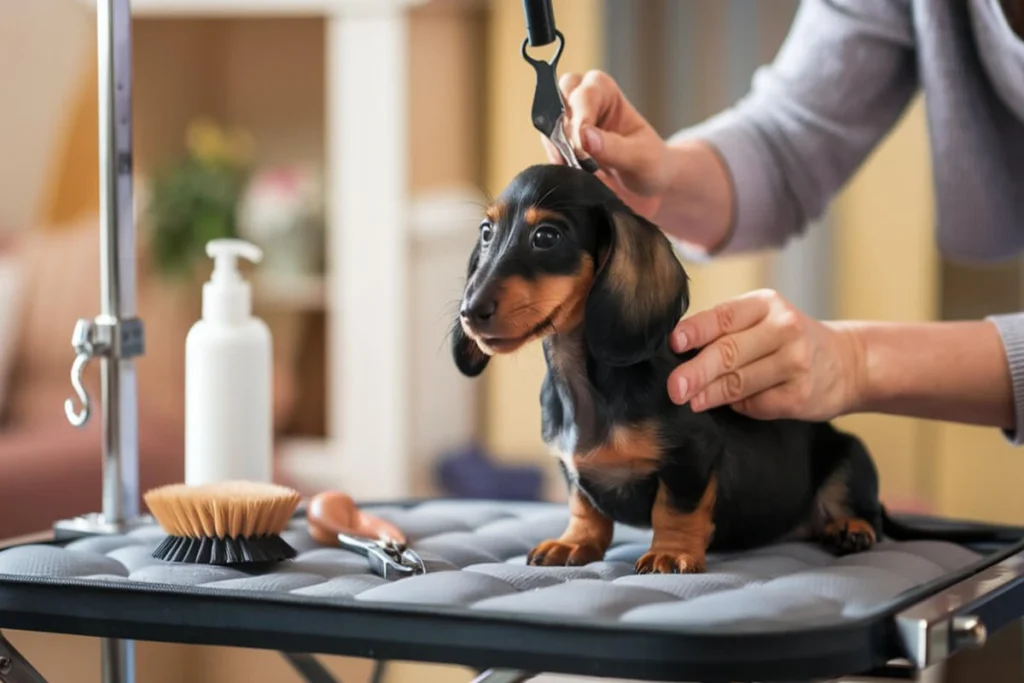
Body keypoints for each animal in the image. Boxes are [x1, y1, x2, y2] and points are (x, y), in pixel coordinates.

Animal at [452, 162, 937, 573]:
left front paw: (670, 553)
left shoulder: (693, 455)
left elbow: (676, 508)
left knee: (865, 511)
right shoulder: (572, 471)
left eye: (547, 237)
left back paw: (850, 527)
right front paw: (575, 543)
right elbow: (584, 507)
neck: (585, 383)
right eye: (486, 232)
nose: (470, 311)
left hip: (850, 454)